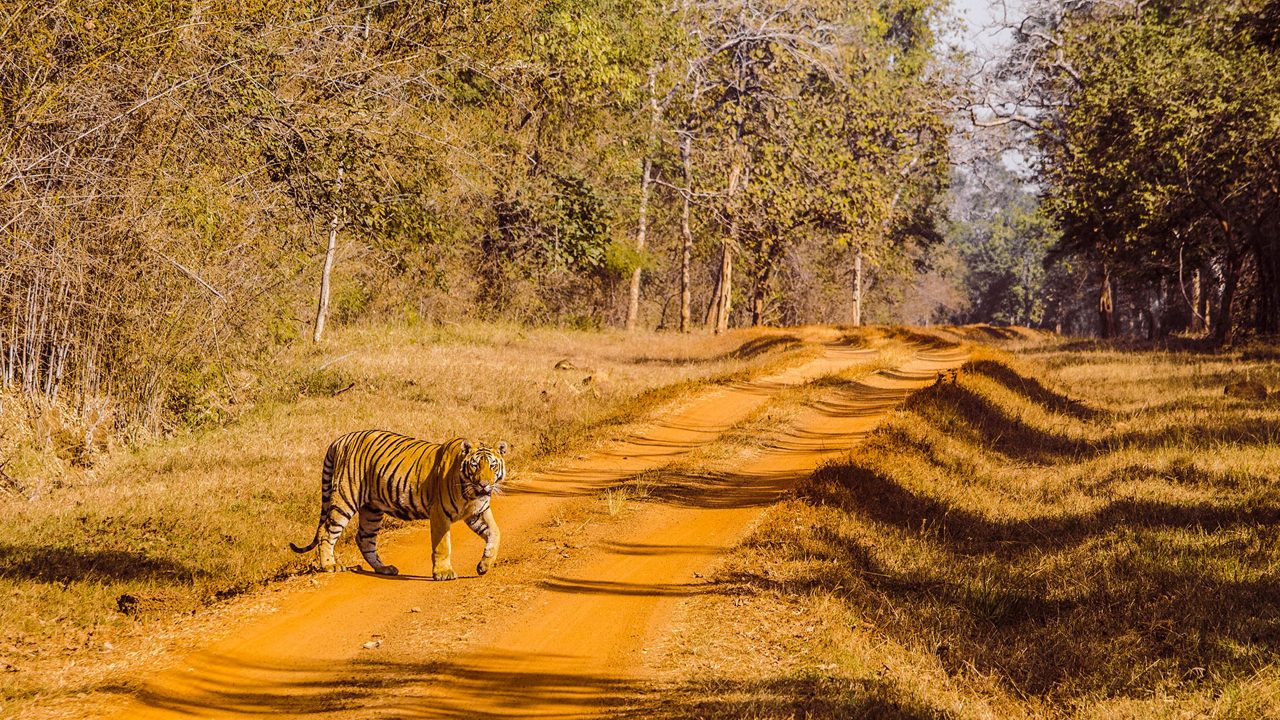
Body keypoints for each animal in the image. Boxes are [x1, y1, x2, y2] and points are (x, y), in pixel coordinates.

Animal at [290, 430, 508, 580]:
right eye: (475, 465)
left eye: (492, 465)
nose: (484, 484)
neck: (472, 494)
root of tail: (341, 439)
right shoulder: (439, 513)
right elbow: (442, 545)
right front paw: (443, 572)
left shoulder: (478, 511)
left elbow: (496, 533)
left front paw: (485, 564)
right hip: (345, 499)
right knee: (326, 532)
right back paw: (329, 566)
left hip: (371, 509)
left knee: (364, 539)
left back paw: (384, 569)